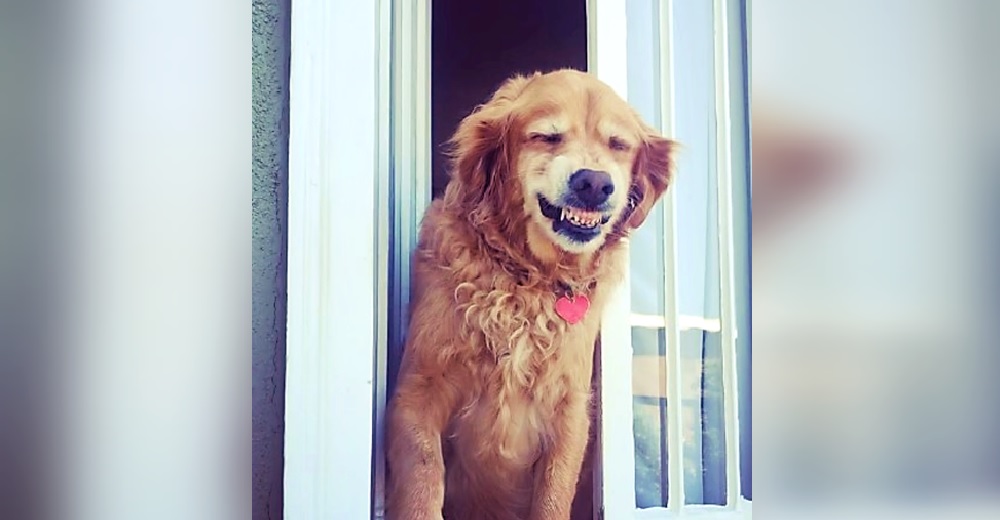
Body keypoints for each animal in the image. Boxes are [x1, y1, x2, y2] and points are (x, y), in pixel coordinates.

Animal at [386, 70, 676, 520]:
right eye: (547, 136)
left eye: (618, 145)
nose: (594, 183)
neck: (530, 277)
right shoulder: (416, 392)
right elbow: (421, 481)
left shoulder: (570, 410)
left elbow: (553, 497)